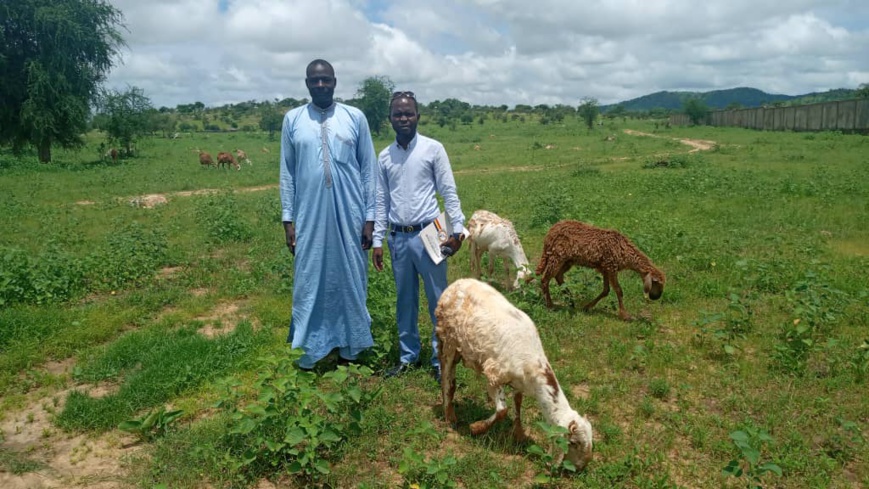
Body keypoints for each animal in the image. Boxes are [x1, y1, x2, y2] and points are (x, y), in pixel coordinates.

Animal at [438, 278, 592, 468]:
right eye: (574, 443)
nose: (580, 467)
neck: (534, 366)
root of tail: (456, 283)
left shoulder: (519, 383)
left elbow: (518, 404)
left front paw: (519, 434)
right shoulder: (494, 375)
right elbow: (502, 410)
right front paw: (477, 428)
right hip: (449, 340)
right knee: (447, 377)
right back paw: (449, 415)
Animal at [528, 220, 664, 320]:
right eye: (656, 283)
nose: (656, 297)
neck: (625, 252)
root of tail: (549, 235)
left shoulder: (605, 268)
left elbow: (606, 290)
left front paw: (587, 307)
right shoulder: (611, 267)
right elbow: (619, 291)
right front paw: (625, 316)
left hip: (567, 260)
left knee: (558, 276)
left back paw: (571, 302)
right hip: (557, 257)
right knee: (545, 279)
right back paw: (550, 306)